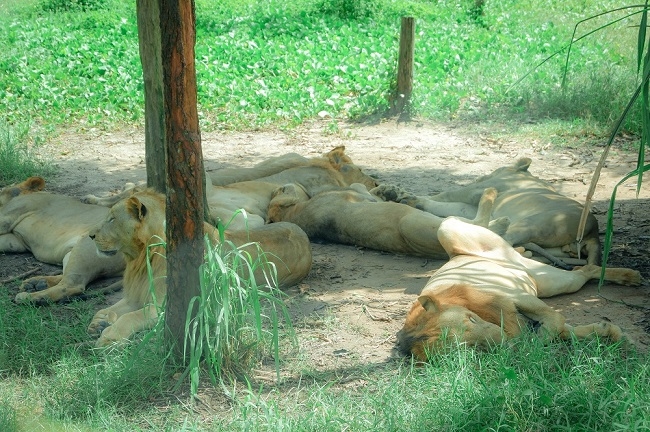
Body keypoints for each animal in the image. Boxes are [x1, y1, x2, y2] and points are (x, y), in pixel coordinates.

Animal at [86, 189, 312, 348]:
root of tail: (305, 236)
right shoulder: (136, 295)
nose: (90, 235)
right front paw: (99, 322)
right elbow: (110, 308)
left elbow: (130, 316)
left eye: (112, 219)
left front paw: (109, 336)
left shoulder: (164, 307)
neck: (139, 259)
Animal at [264, 181, 506, 258]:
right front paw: (388, 191)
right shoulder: (353, 193)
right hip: (418, 223)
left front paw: (390, 191)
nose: (281, 185)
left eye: (279, 189)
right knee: (480, 223)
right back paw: (491, 197)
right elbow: (364, 191)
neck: (295, 214)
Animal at [372, 157, 600, 264]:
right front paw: (405, 198)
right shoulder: (472, 203)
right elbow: (441, 204)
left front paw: (397, 194)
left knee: (499, 238)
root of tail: (594, 232)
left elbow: (444, 196)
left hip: (533, 223)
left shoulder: (474, 191)